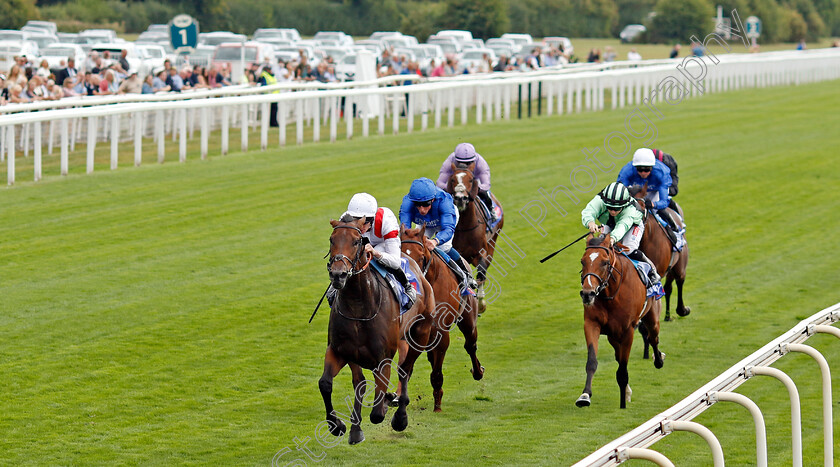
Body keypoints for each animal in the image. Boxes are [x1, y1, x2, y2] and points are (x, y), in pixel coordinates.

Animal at [320, 219, 434, 446]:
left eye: (356, 241)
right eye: (331, 239)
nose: (338, 274)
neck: (358, 305)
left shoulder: (383, 360)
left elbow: (377, 413)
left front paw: (389, 407)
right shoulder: (339, 350)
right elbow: (326, 384)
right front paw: (337, 426)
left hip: (421, 333)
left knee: (405, 369)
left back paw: (400, 416)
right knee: (360, 382)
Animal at [402, 225, 486, 412]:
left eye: (421, 256)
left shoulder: (441, 331)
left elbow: (437, 372)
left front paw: (437, 406)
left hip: (468, 320)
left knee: (470, 345)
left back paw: (478, 371)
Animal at [450, 162, 502, 314]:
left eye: (471, 179)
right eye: (452, 179)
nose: (460, 198)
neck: (465, 226)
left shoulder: (481, 252)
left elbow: (481, 273)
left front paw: (480, 304)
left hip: (493, 241)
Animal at [576, 236, 664, 408]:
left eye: (604, 262)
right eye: (583, 261)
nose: (588, 294)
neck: (610, 294)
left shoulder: (628, 330)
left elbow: (623, 368)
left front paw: (623, 401)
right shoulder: (591, 324)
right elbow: (592, 361)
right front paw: (585, 395)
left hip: (652, 316)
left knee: (653, 338)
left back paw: (658, 359)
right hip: (613, 335)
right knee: (619, 354)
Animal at [632, 184, 688, 322]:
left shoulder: (660, 270)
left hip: (679, 263)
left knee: (679, 281)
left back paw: (681, 310)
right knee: (669, 287)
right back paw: (667, 315)